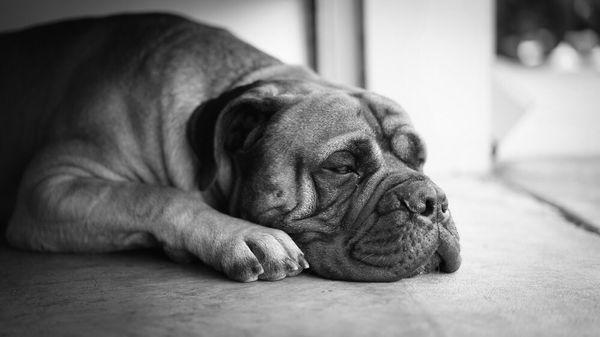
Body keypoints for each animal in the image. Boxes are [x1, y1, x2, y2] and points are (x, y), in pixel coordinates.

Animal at [0, 13, 462, 280]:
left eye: (420, 158)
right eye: (342, 167)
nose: (432, 200)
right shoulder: (49, 186)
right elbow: (153, 195)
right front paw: (244, 235)